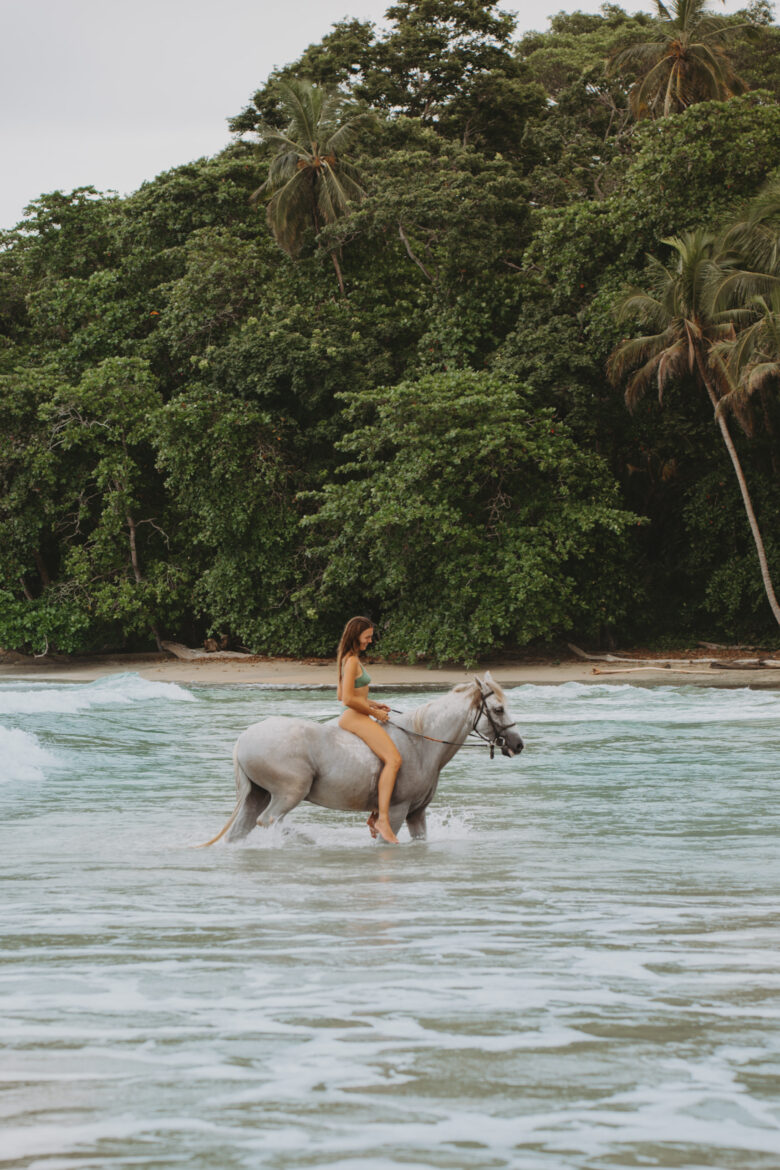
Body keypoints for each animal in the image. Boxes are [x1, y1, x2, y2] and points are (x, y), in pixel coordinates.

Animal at [199, 673, 523, 847]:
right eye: (497, 709)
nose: (518, 745)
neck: (420, 742)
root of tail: (244, 739)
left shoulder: (416, 814)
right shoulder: (395, 812)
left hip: (257, 794)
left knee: (242, 831)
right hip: (290, 792)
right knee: (269, 821)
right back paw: (304, 840)